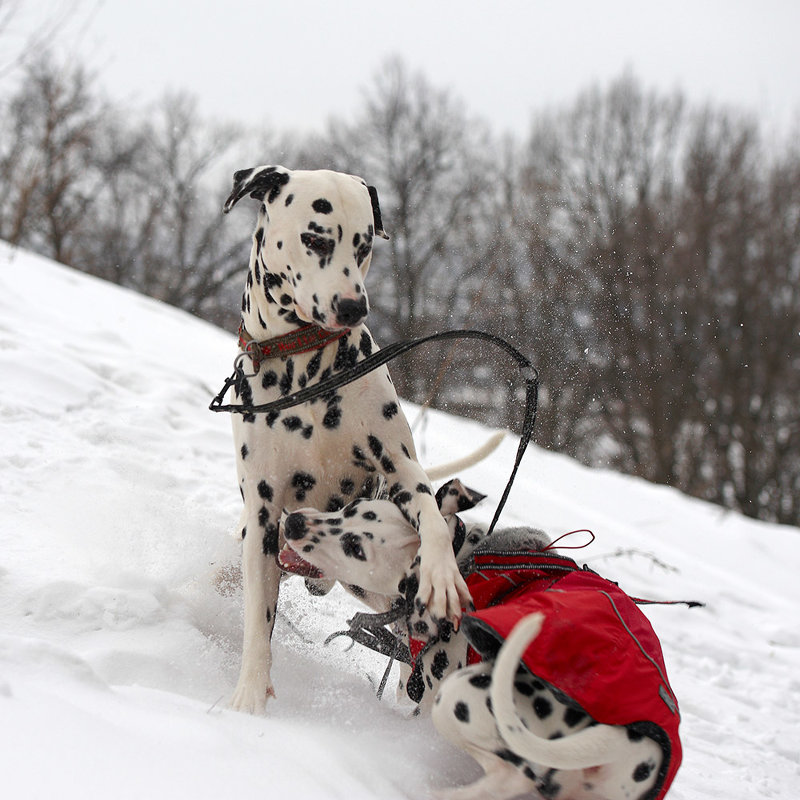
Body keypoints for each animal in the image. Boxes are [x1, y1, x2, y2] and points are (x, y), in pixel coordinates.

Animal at [220, 167, 468, 712]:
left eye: (364, 245)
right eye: (315, 239)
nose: (355, 306)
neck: (304, 366)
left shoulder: (400, 467)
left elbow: (432, 520)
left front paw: (440, 575)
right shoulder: (264, 512)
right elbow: (257, 621)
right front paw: (249, 697)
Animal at [280, 482, 668, 800]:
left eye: (356, 548)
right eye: (353, 508)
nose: (294, 522)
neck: (461, 565)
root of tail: (633, 739)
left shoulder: (431, 697)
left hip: (463, 700)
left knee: (509, 777)